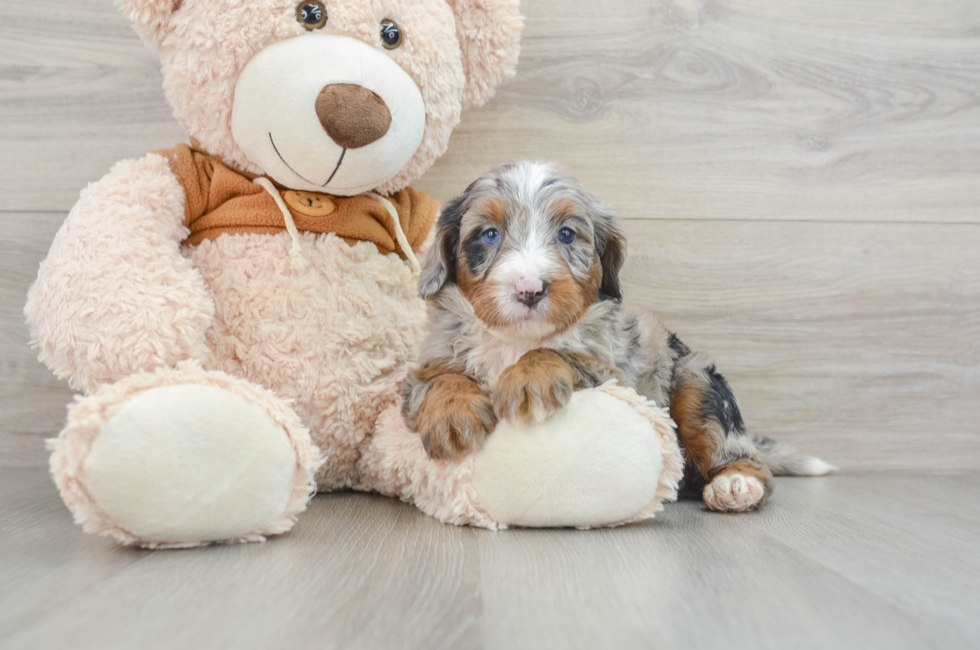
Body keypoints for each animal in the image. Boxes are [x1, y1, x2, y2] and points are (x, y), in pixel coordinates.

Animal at [402, 162, 832, 512]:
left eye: (567, 234)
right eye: (489, 235)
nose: (530, 289)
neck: (516, 340)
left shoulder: (613, 373)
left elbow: (560, 354)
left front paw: (528, 378)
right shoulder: (428, 361)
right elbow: (439, 375)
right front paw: (452, 415)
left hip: (696, 382)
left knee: (742, 455)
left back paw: (736, 484)